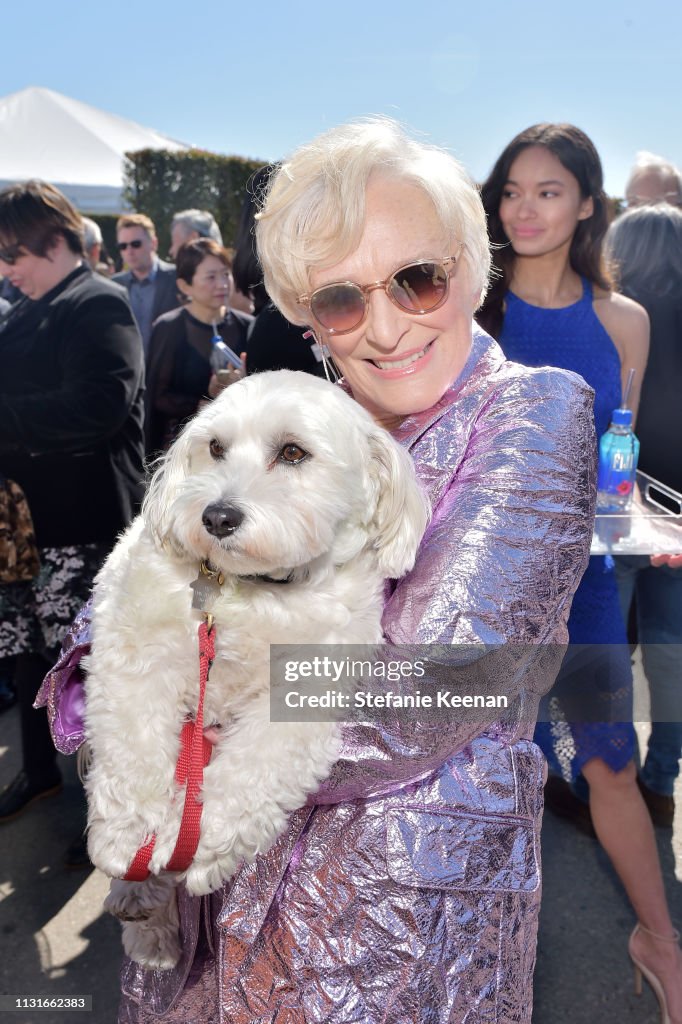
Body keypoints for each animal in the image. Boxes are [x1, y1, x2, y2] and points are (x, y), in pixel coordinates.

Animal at [83, 368, 425, 966]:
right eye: (215, 448)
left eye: (292, 452)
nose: (216, 516)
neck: (249, 594)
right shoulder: (133, 657)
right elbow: (133, 750)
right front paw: (127, 836)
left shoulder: (305, 697)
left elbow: (253, 771)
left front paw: (197, 845)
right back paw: (141, 908)